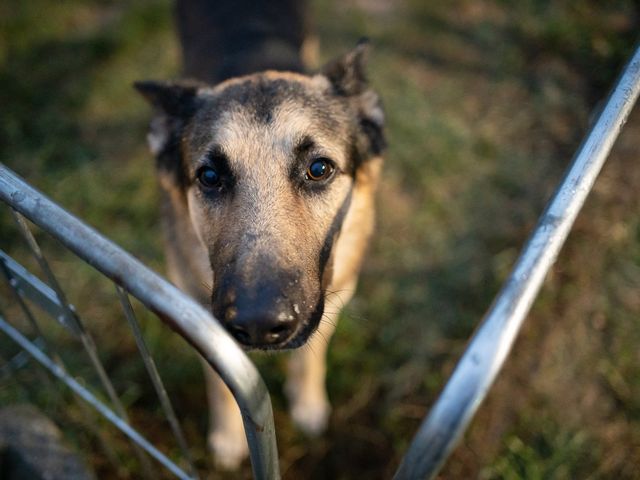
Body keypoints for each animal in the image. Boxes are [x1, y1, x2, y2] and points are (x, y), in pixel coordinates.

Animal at [136, 0, 384, 466]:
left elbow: (310, 355)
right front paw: (228, 436)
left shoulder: (335, 296)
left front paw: (308, 405)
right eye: (210, 176)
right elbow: (223, 380)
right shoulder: (199, 317)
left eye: (319, 168)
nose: (257, 324)